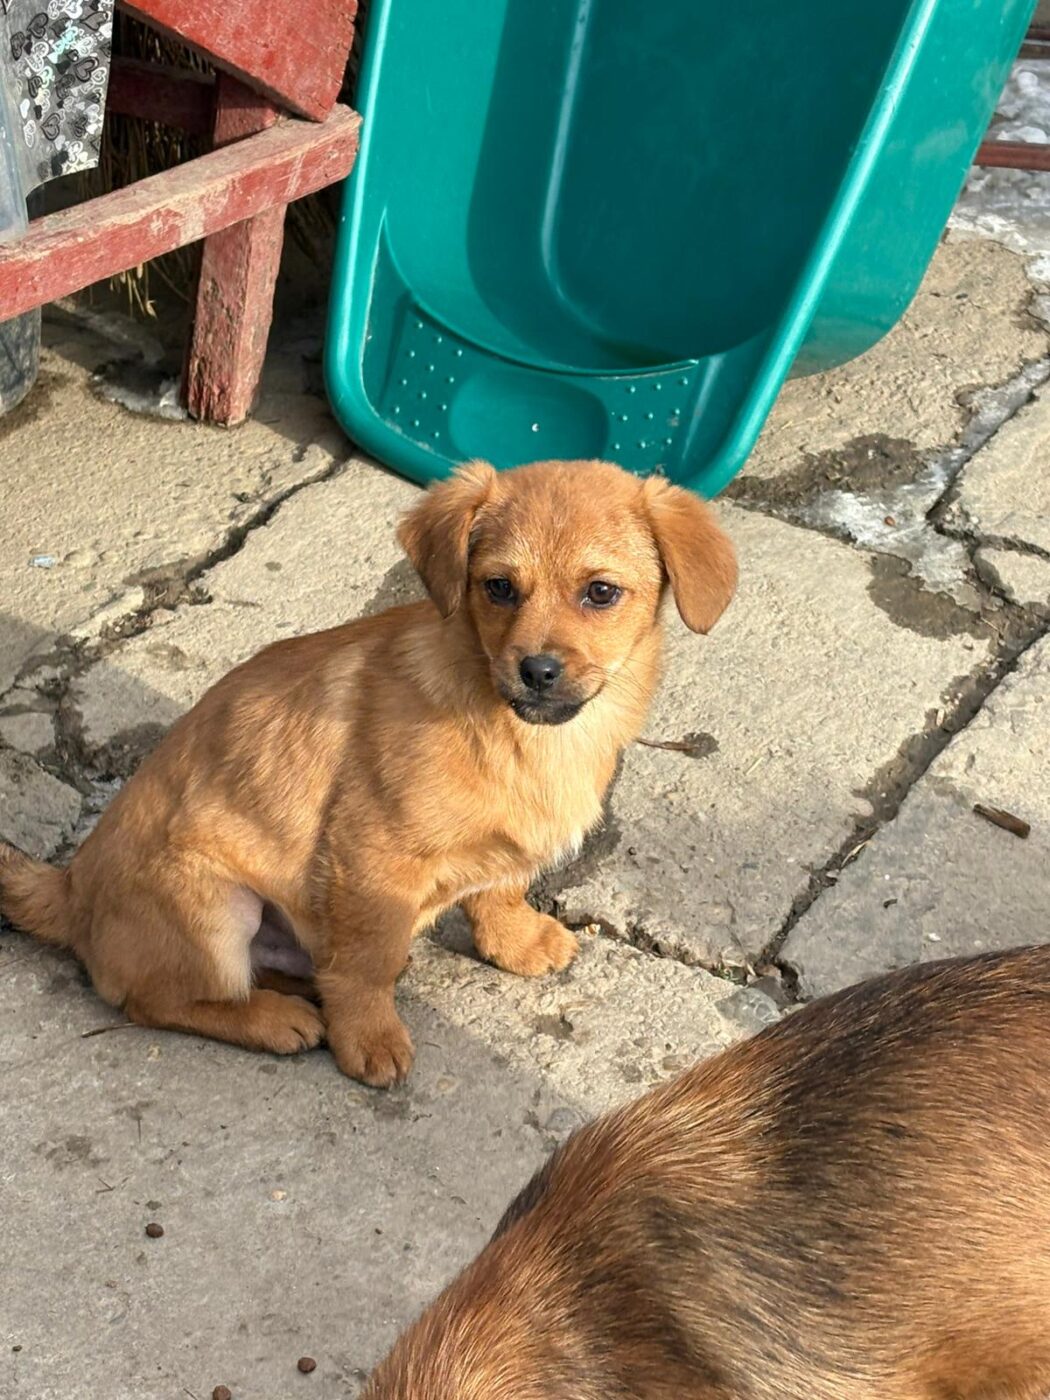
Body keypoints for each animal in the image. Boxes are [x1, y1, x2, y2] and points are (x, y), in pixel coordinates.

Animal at [0, 460, 736, 1086]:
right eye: (499, 587)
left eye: (601, 592)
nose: (537, 670)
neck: (523, 733)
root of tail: (68, 888)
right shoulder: (372, 859)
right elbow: (366, 961)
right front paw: (369, 1038)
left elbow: (498, 889)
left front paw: (515, 941)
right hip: (210, 905)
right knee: (154, 999)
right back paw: (275, 1018)